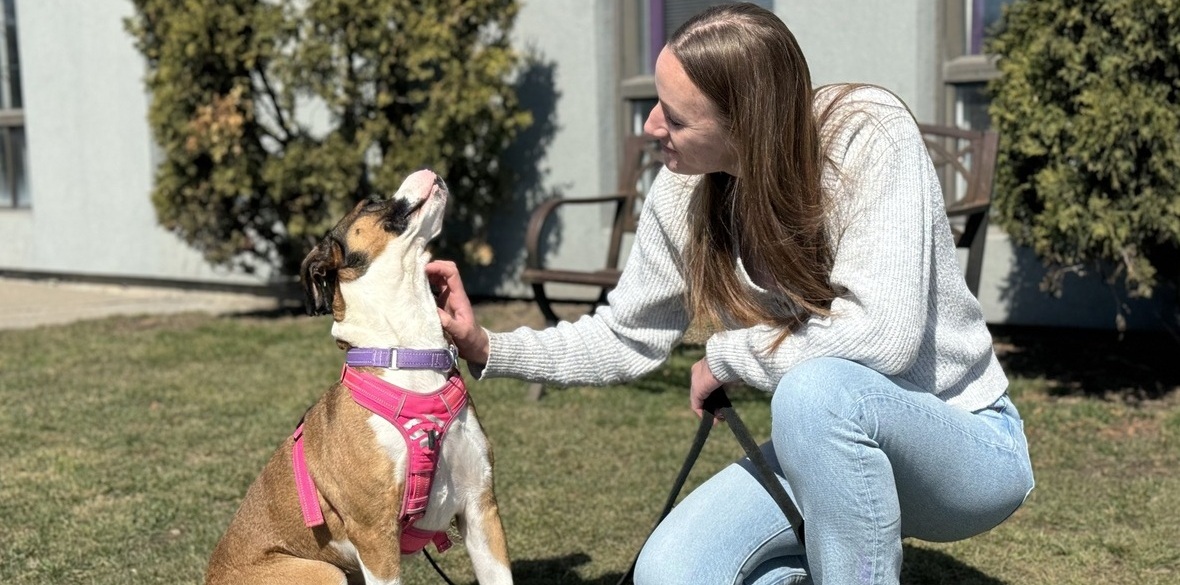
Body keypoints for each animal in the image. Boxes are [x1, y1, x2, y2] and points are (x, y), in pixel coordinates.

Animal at [201, 166, 512, 582]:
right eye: (371, 202)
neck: (408, 355)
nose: (427, 168)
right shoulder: (376, 536)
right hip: (323, 570)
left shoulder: (481, 511)